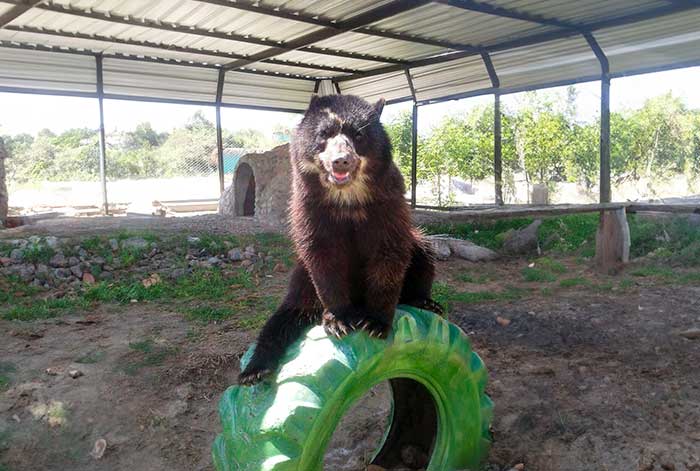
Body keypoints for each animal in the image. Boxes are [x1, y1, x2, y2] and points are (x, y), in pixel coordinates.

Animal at [238, 94, 441, 385]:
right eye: (324, 134)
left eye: (358, 135)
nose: (341, 161)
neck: (347, 200)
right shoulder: (310, 209)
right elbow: (323, 259)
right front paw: (339, 320)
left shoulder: (387, 205)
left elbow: (388, 253)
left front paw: (375, 323)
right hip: (302, 278)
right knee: (286, 315)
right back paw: (254, 371)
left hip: (417, 245)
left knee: (423, 253)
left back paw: (425, 301)